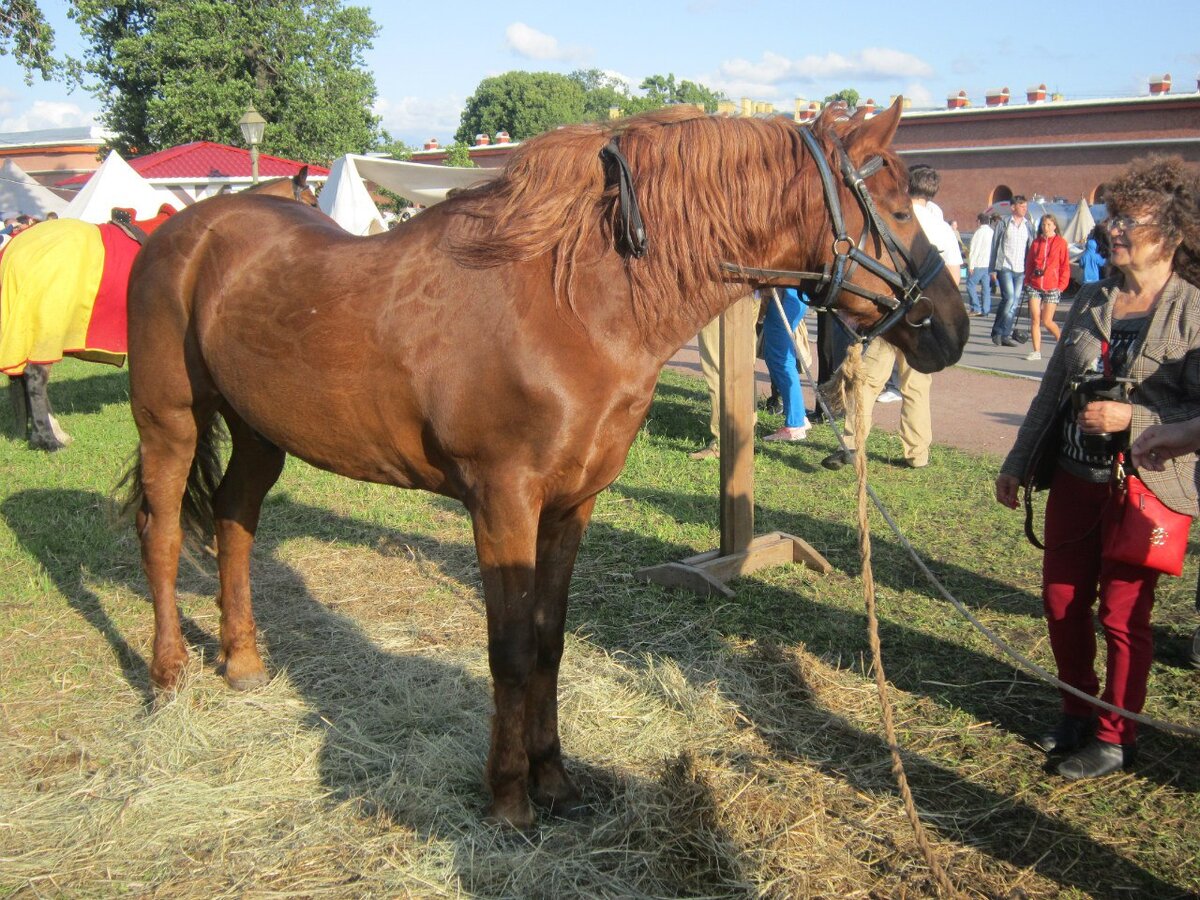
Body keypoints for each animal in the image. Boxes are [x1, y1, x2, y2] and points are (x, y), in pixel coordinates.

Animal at [121, 102, 964, 830]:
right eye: (895, 209)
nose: (951, 330)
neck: (570, 302)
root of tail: (183, 229)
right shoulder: (503, 506)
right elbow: (511, 650)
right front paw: (507, 797)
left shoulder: (571, 506)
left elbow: (551, 642)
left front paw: (554, 778)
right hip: (171, 422)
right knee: (160, 534)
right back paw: (168, 678)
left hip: (260, 434)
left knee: (233, 521)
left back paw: (242, 661)